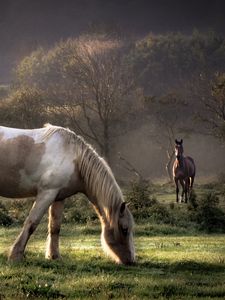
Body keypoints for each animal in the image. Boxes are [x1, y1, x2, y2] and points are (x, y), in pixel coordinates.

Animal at [0, 124, 135, 264]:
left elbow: (55, 227)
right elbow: (31, 223)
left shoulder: (58, 197)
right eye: (124, 229)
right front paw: (15, 255)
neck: (74, 159)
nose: (131, 261)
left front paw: (54, 256)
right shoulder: (46, 194)